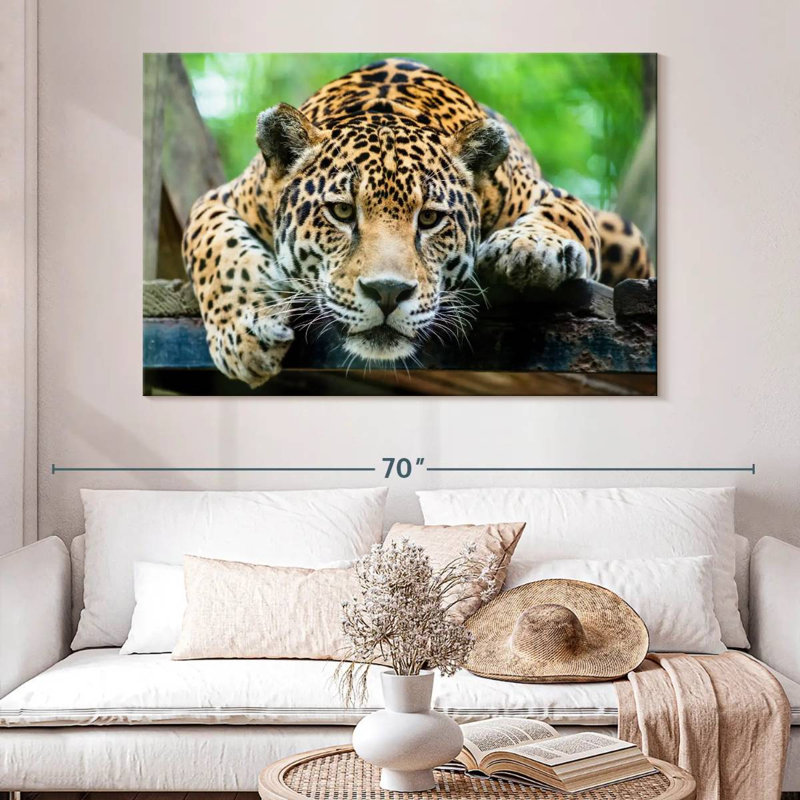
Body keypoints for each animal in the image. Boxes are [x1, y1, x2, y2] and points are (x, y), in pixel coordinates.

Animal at [182, 59, 653, 387]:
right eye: (342, 212)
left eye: (429, 219)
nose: (388, 293)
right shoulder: (220, 199)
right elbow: (216, 251)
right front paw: (244, 336)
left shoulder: (550, 195)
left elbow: (562, 216)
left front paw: (529, 248)